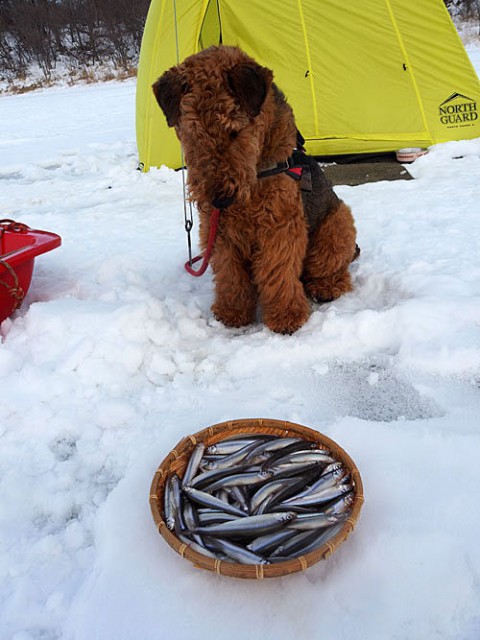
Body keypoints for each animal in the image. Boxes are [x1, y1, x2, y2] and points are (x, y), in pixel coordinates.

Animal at [152, 45, 358, 336]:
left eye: (234, 131)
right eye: (192, 130)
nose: (220, 199)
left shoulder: (279, 226)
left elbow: (278, 272)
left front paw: (286, 317)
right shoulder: (219, 231)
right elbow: (231, 276)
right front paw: (232, 314)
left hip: (337, 224)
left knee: (332, 269)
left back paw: (325, 287)